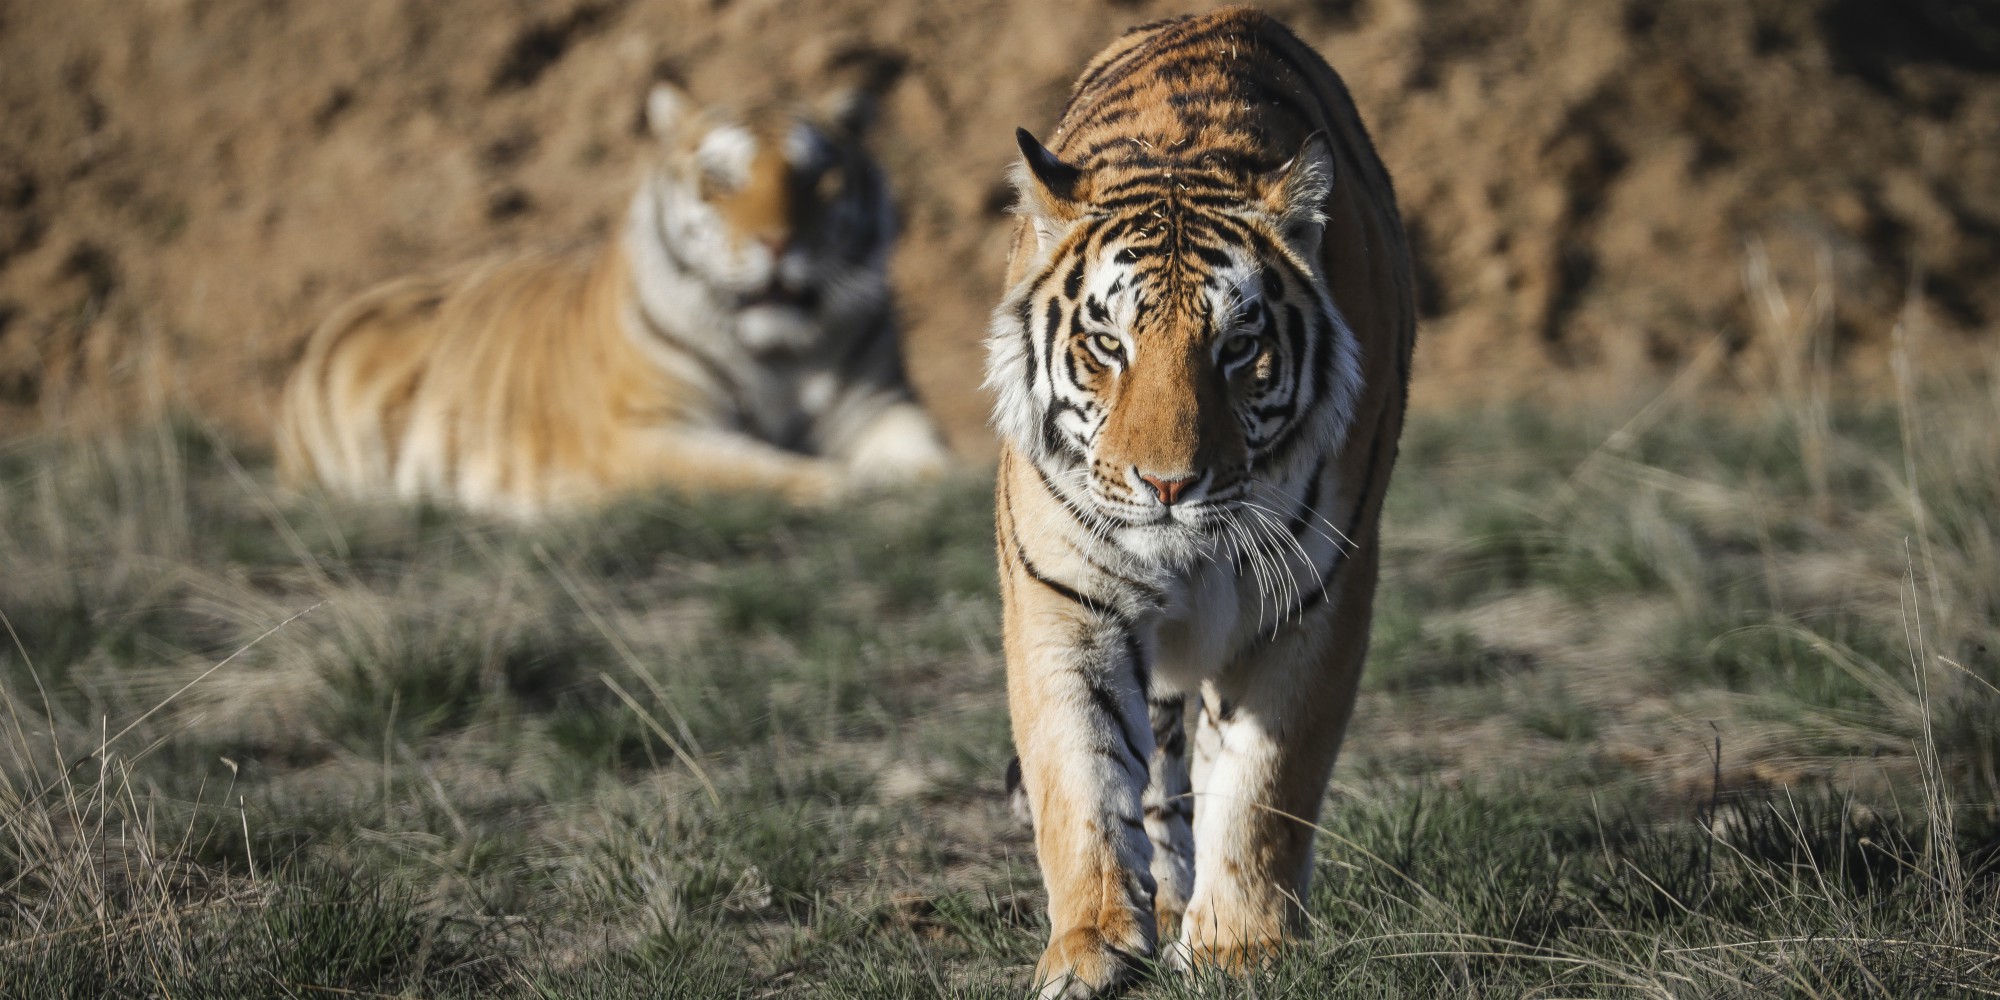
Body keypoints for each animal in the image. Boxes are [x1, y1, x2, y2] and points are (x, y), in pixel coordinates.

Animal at [277, 80, 949, 519]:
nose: (779, 242)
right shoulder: (642, 433)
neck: (780, 353)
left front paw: (935, 483)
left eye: (818, 177)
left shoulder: (880, 406)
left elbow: (931, 455)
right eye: (719, 180)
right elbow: (743, 469)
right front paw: (849, 485)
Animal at [984, 8, 1416, 995]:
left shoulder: (1315, 599)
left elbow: (1265, 786)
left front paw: (1238, 945)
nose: (1167, 485)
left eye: (1239, 345)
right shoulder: (1064, 600)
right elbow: (1081, 780)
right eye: (1108, 343)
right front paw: (1092, 945)